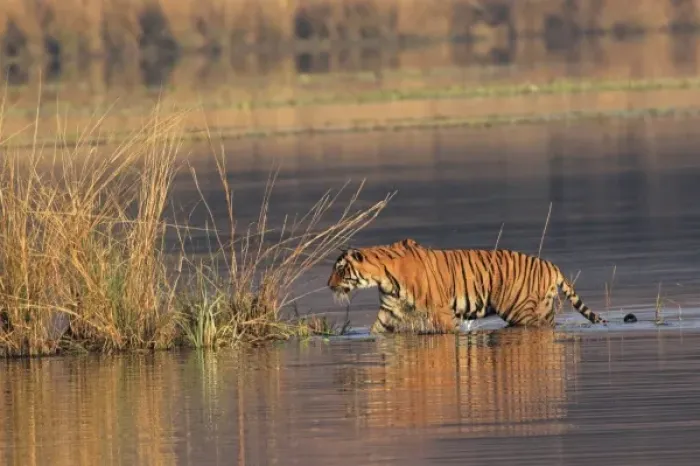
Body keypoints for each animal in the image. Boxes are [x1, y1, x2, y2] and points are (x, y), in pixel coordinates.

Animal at [327, 238, 608, 334]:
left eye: (340, 270)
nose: (328, 285)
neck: (384, 279)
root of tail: (551, 265)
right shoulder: (389, 312)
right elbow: (375, 331)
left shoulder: (441, 311)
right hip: (541, 309)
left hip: (523, 313)